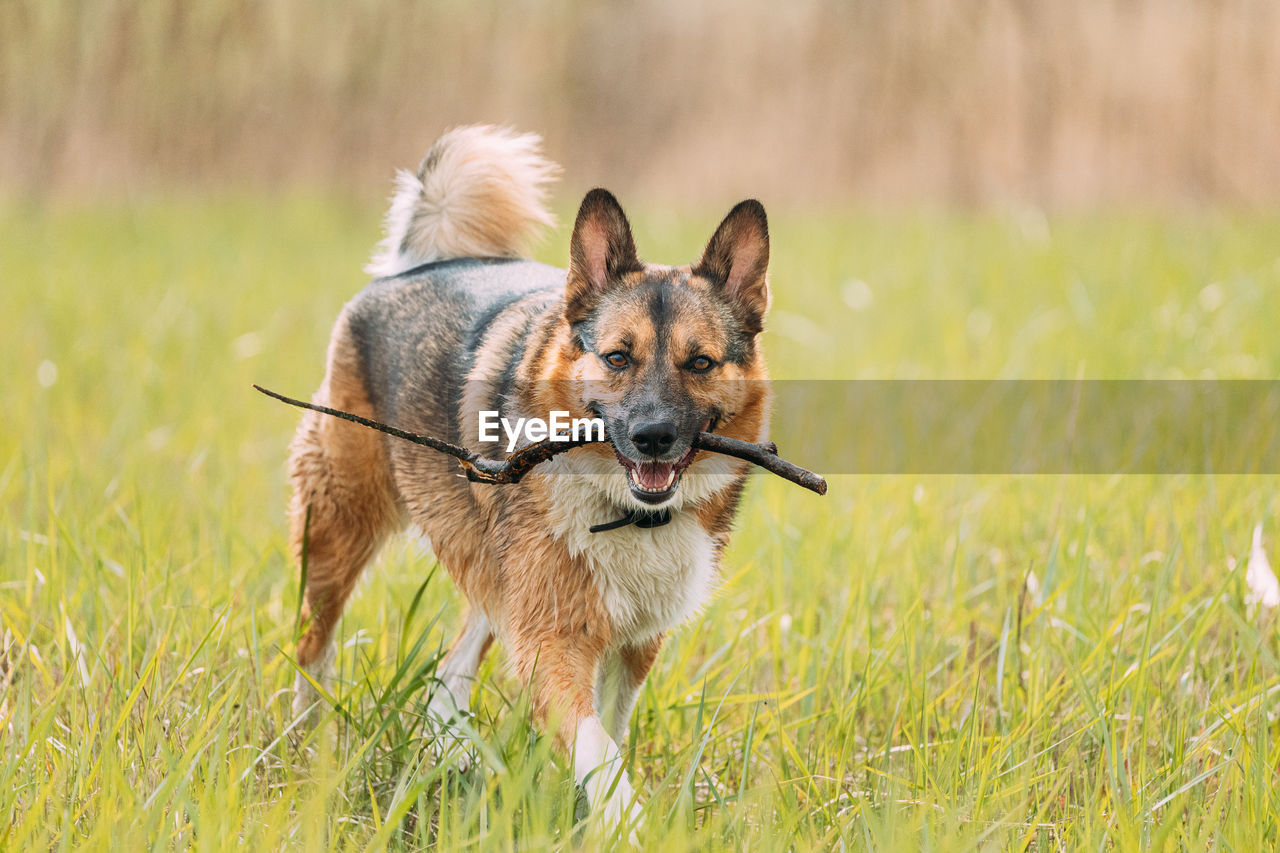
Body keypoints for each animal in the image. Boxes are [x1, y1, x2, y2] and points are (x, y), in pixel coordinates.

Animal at [288, 126, 768, 829]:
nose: (653, 436)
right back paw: (303, 749)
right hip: (341, 529)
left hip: (494, 568)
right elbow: (599, 749)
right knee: (312, 645)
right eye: (617, 358)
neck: (625, 512)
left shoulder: (632, 641)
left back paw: (454, 763)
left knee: (450, 673)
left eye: (700, 362)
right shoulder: (552, 639)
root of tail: (414, 267)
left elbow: (609, 734)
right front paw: (626, 823)